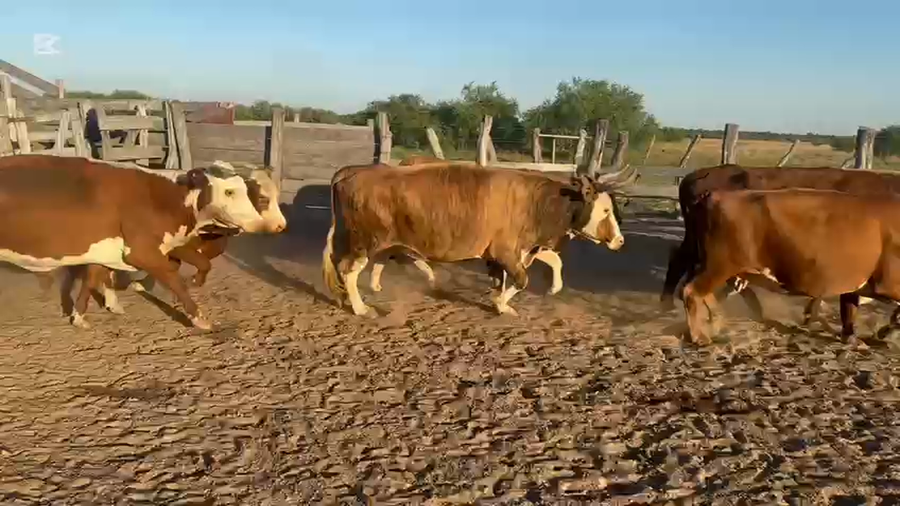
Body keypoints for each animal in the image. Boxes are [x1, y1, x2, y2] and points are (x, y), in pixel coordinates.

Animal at [0, 154, 269, 330]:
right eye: (228, 192)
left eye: (245, 190)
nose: (259, 222)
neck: (165, 198)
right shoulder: (143, 252)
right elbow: (175, 280)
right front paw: (199, 317)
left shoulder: (106, 249)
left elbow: (91, 279)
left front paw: (80, 316)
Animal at [321, 162, 627, 317]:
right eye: (605, 210)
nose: (620, 241)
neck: (536, 201)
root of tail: (352, 172)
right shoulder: (506, 252)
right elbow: (521, 280)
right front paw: (502, 304)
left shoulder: (521, 248)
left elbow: (552, 262)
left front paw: (548, 289)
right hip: (362, 240)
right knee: (348, 270)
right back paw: (360, 307)